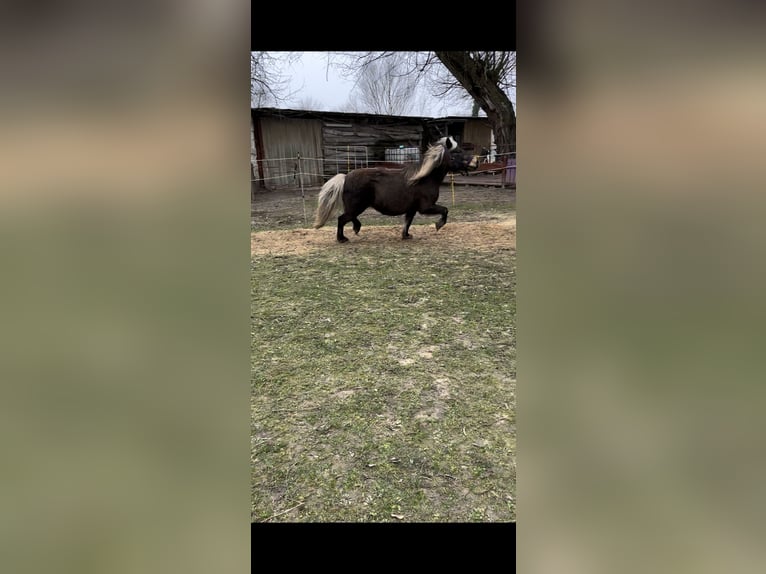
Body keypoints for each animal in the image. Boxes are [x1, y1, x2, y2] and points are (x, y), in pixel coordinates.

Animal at [316, 137, 476, 243]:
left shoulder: (412, 209)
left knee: (349, 218)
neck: (424, 178)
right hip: (357, 206)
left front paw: (406, 236)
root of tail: (346, 177)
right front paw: (438, 225)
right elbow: (445, 210)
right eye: (457, 153)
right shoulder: (426, 207)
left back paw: (356, 228)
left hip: (356, 207)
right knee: (342, 219)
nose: (475, 162)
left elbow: (408, 222)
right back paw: (342, 238)